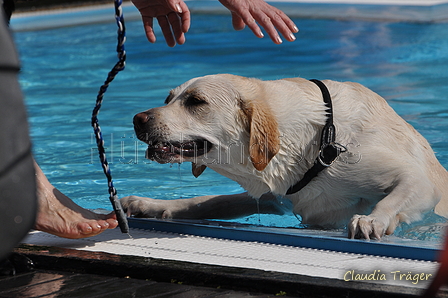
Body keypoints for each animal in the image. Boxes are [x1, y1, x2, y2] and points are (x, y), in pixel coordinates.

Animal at [120, 75, 448, 240]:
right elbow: (211, 202)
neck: (320, 139)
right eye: (168, 99)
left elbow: (394, 197)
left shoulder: (419, 181)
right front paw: (151, 205)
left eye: (196, 102)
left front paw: (371, 220)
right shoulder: (276, 193)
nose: (137, 119)